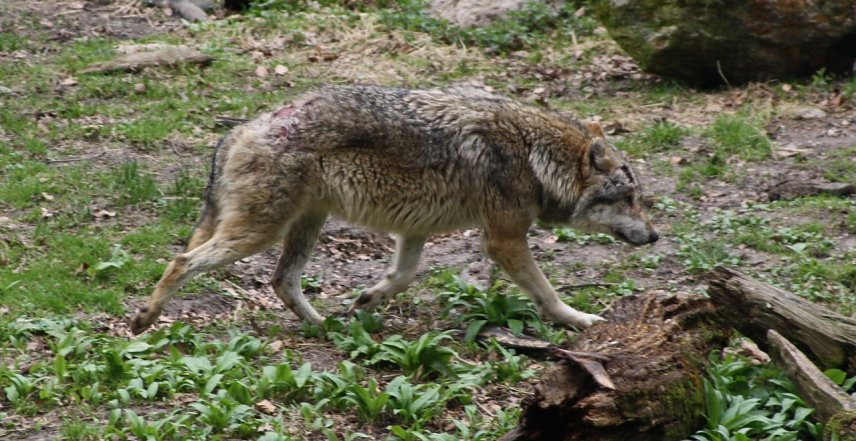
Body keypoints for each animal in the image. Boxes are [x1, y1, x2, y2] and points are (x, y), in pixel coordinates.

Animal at [130, 85, 658, 335]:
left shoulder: (414, 231)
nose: (654, 236)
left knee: (280, 281)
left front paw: (367, 300)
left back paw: (325, 327)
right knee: (181, 261)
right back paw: (144, 319)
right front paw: (579, 321)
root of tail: (239, 129)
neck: (533, 154)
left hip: (303, 225)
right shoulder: (504, 240)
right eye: (629, 198)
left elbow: (401, 278)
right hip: (260, 233)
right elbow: (546, 294)